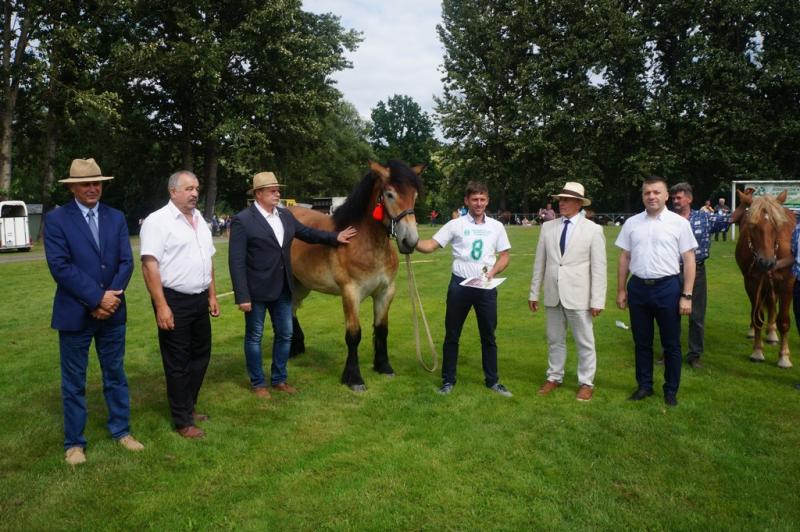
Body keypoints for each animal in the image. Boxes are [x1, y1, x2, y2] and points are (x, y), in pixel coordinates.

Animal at [288, 160, 422, 390]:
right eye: (390, 194)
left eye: (414, 195)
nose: (410, 241)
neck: (363, 243)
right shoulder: (351, 293)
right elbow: (353, 335)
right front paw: (354, 378)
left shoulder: (386, 292)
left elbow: (382, 329)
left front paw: (384, 367)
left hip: (301, 284)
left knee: (293, 309)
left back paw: (297, 346)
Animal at [734, 189, 796, 367]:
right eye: (752, 225)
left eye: (777, 226)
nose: (766, 262)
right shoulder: (752, 282)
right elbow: (757, 317)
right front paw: (757, 351)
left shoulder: (787, 283)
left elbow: (784, 321)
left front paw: (784, 357)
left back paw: (772, 334)